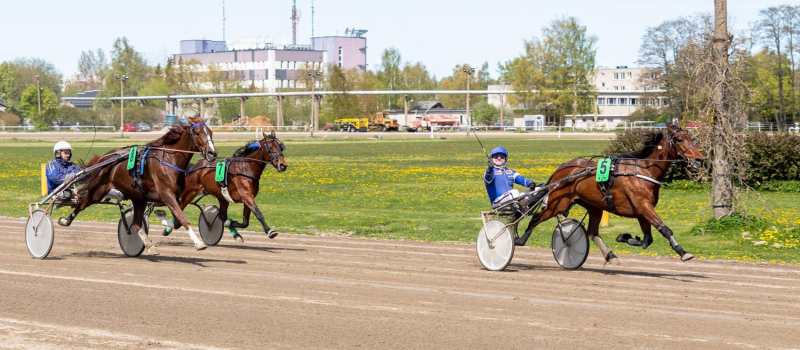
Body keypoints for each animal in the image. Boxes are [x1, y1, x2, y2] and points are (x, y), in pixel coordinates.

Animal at [58, 116, 219, 253]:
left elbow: (178, 220)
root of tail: (105, 157)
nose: (212, 153)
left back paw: (149, 245)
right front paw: (199, 243)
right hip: (97, 191)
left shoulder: (175, 196)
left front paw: (163, 220)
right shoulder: (166, 194)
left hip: (138, 198)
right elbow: (182, 218)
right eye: (197, 133)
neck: (169, 160)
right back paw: (65, 220)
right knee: (81, 204)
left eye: (211, 132)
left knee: (136, 224)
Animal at [516, 124, 704, 264]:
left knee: (592, 232)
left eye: (693, 139)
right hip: (557, 203)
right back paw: (520, 240)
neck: (644, 170)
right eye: (679, 139)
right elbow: (665, 229)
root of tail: (562, 168)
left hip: (594, 206)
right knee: (536, 218)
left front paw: (624, 237)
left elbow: (647, 239)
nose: (700, 159)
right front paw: (683, 252)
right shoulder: (643, 206)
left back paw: (610, 255)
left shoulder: (642, 211)